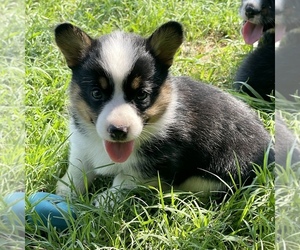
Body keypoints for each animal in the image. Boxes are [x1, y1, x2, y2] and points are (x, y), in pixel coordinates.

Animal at [55, 21, 276, 205]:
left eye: (142, 95)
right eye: (96, 93)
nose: (118, 131)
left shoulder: (153, 167)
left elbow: (123, 180)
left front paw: (104, 202)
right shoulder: (81, 144)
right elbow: (77, 169)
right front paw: (65, 193)